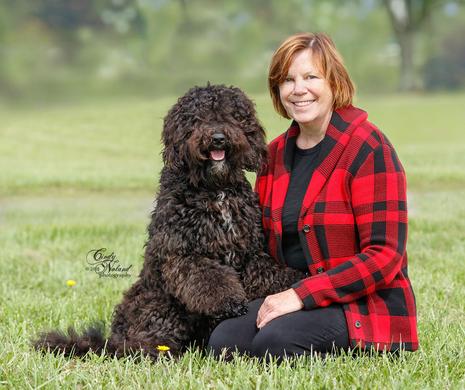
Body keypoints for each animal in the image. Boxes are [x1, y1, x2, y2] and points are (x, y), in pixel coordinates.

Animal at [33, 84, 304, 360]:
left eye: (232, 115)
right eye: (197, 118)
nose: (218, 138)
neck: (214, 189)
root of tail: (115, 339)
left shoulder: (250, 252)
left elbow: (269, 273)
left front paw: (297, 280)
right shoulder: (182, 254)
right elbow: (209, 278)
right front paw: (230, 301)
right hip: (162, 305)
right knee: (143, 344)